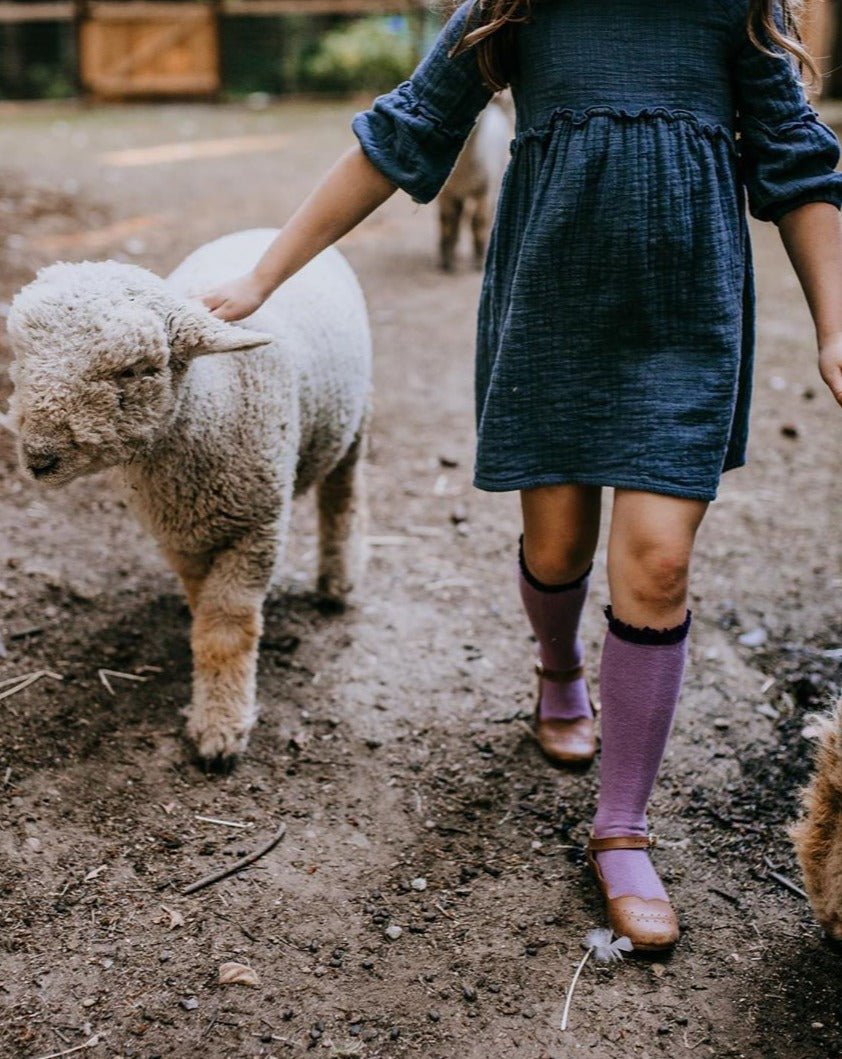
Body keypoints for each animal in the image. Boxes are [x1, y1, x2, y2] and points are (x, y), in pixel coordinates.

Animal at [4, 229, 370, 770]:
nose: (38, 457)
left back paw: (337, 583)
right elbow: (204, 608)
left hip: (355, 419)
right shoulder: (178, 534)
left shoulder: (258, 527)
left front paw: (220, 728)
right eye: (21, 356)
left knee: (341, 496)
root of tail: (259, 230)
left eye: (135, 370)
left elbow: (228, 627)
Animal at [438, 92, 510, 271]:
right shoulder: (446, 193)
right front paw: (447, 261)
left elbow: (478, 220)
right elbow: (448, 219)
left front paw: (478, 259)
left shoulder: (484, 189)